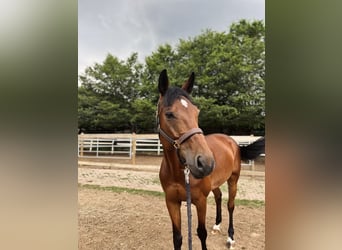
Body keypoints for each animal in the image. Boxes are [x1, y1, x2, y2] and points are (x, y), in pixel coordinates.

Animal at [156, 69, 266, 249]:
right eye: (169, 114)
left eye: (196, 113)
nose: (205, 162)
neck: (179, 173)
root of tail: (232, 141)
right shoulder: (171, 202)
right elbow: (177, 237)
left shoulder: (200, 201)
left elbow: (201, 233)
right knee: (219, 196)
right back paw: (217, 224)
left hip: (233, 180)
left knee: (230, 205)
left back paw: (230, 237)